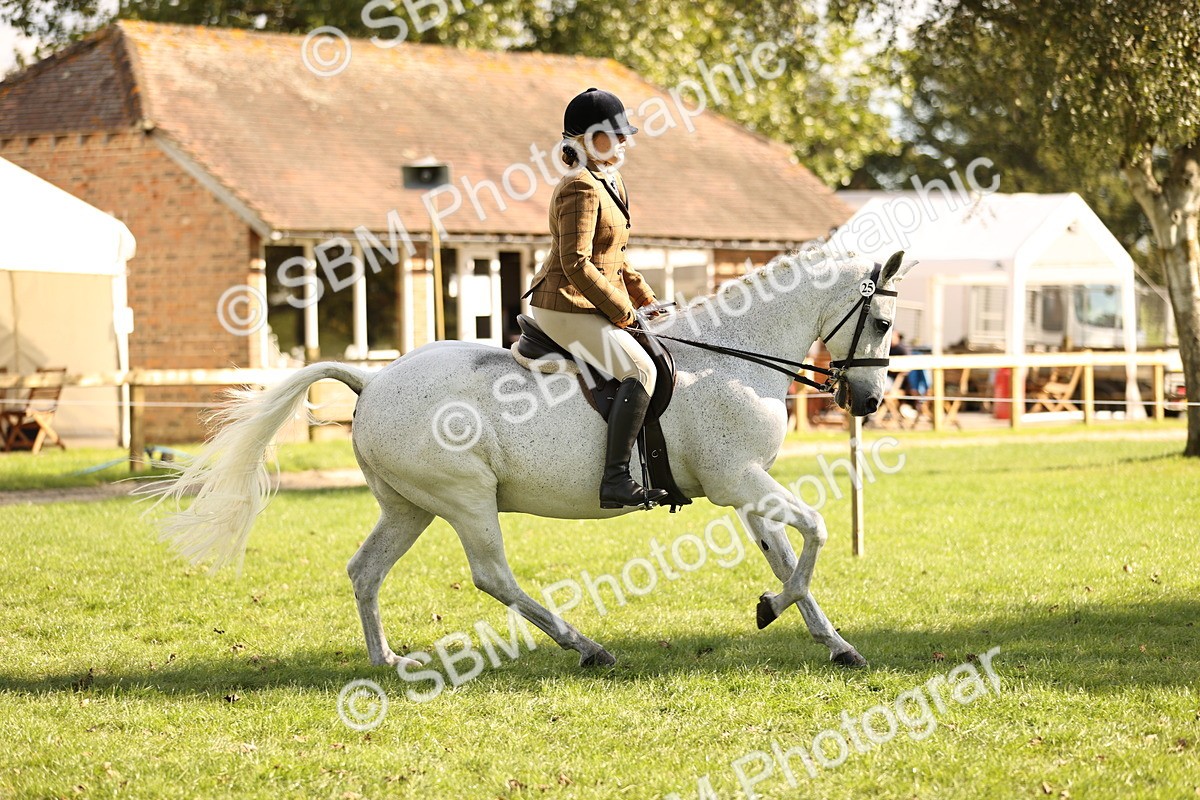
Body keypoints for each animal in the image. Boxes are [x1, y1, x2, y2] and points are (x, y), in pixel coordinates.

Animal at [142, 249, 915, 670]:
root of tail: (373, 381)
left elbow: (787, 556)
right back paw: (586, 646)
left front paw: (833, 642)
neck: (729, 357)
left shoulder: (745, 486)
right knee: (493, 576)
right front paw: (772, 611)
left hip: (409, 506)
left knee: (365, 571)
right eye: (881, 321)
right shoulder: (738, 480)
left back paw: (384, 659)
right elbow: (814, 533)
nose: (869, 400)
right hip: (464, 499)